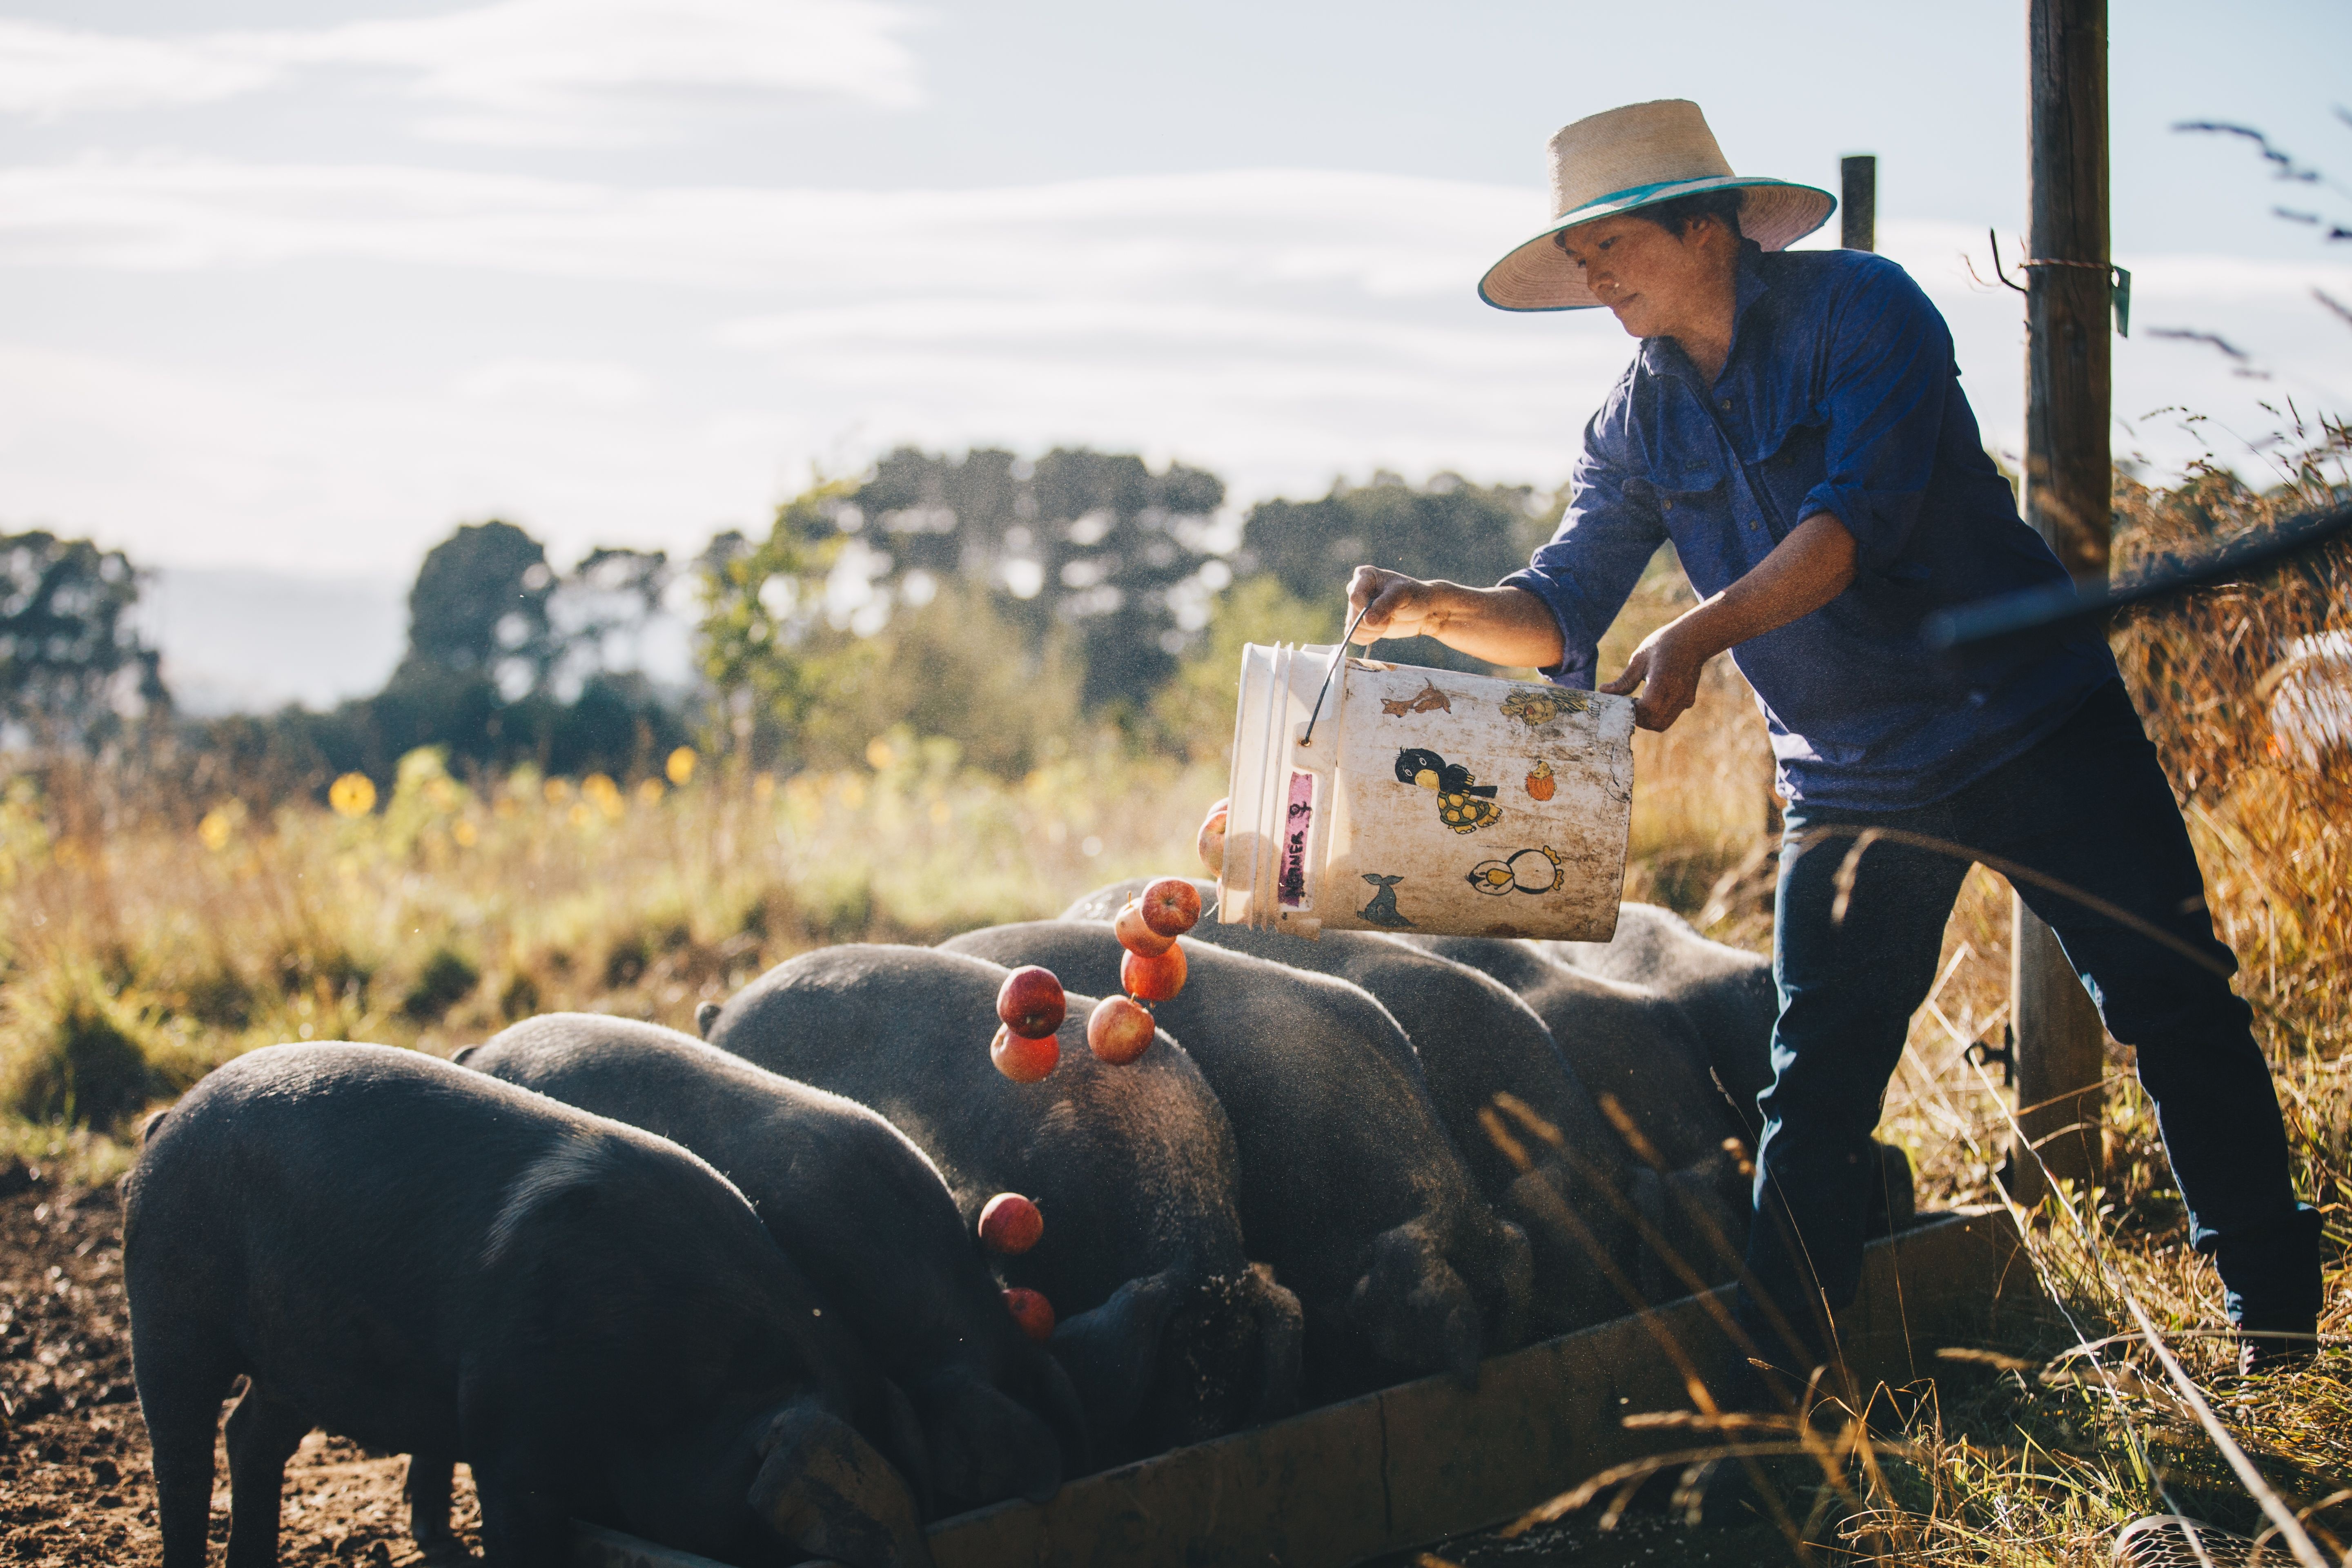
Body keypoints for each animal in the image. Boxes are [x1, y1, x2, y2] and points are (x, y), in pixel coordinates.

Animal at [124, 1042, 931, 1568]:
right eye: (766, 1534)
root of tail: (167, 1121)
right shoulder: (508, 1431)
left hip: (298, 1359)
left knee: (251, 1436)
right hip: (167, 1310)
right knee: (183, 1456)